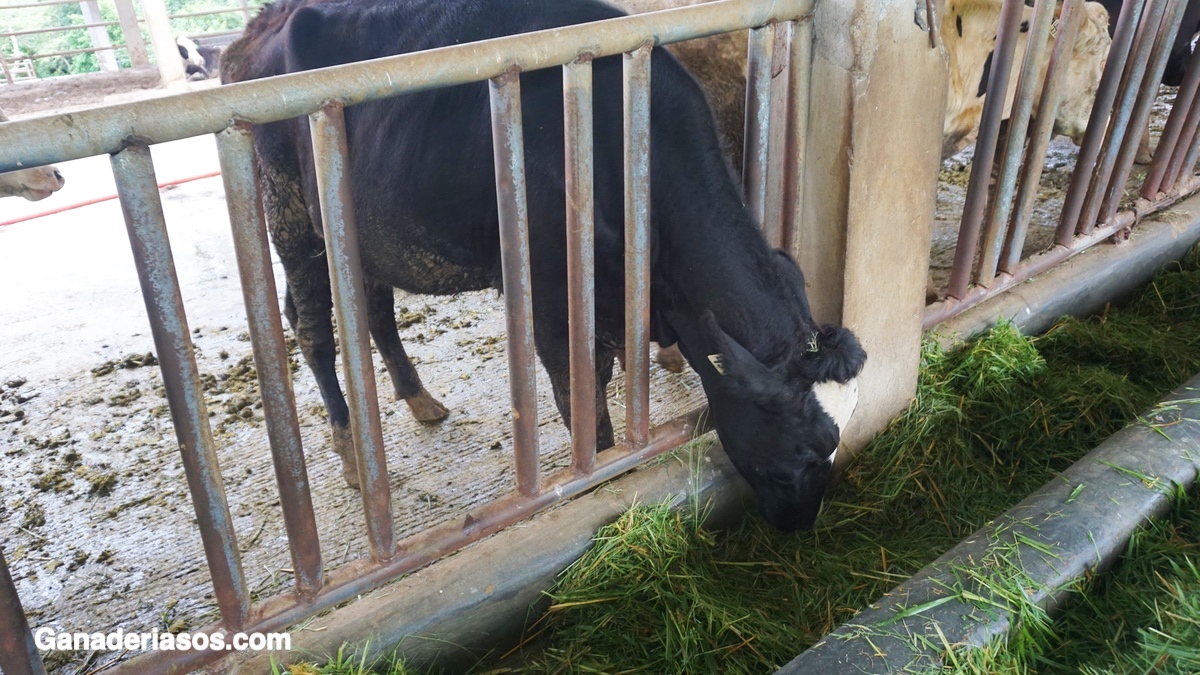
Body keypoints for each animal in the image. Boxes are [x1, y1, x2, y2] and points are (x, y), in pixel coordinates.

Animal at [223, 0, 864, 528]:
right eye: (801, 452)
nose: (800, 525)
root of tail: (257, 27)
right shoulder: (556, 298)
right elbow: (585, 403)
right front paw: (599, 471)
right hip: (288, 211)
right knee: (312, 329)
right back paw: (353, 453)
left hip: (360, 232)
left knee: (372, 309)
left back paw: (419, 400)